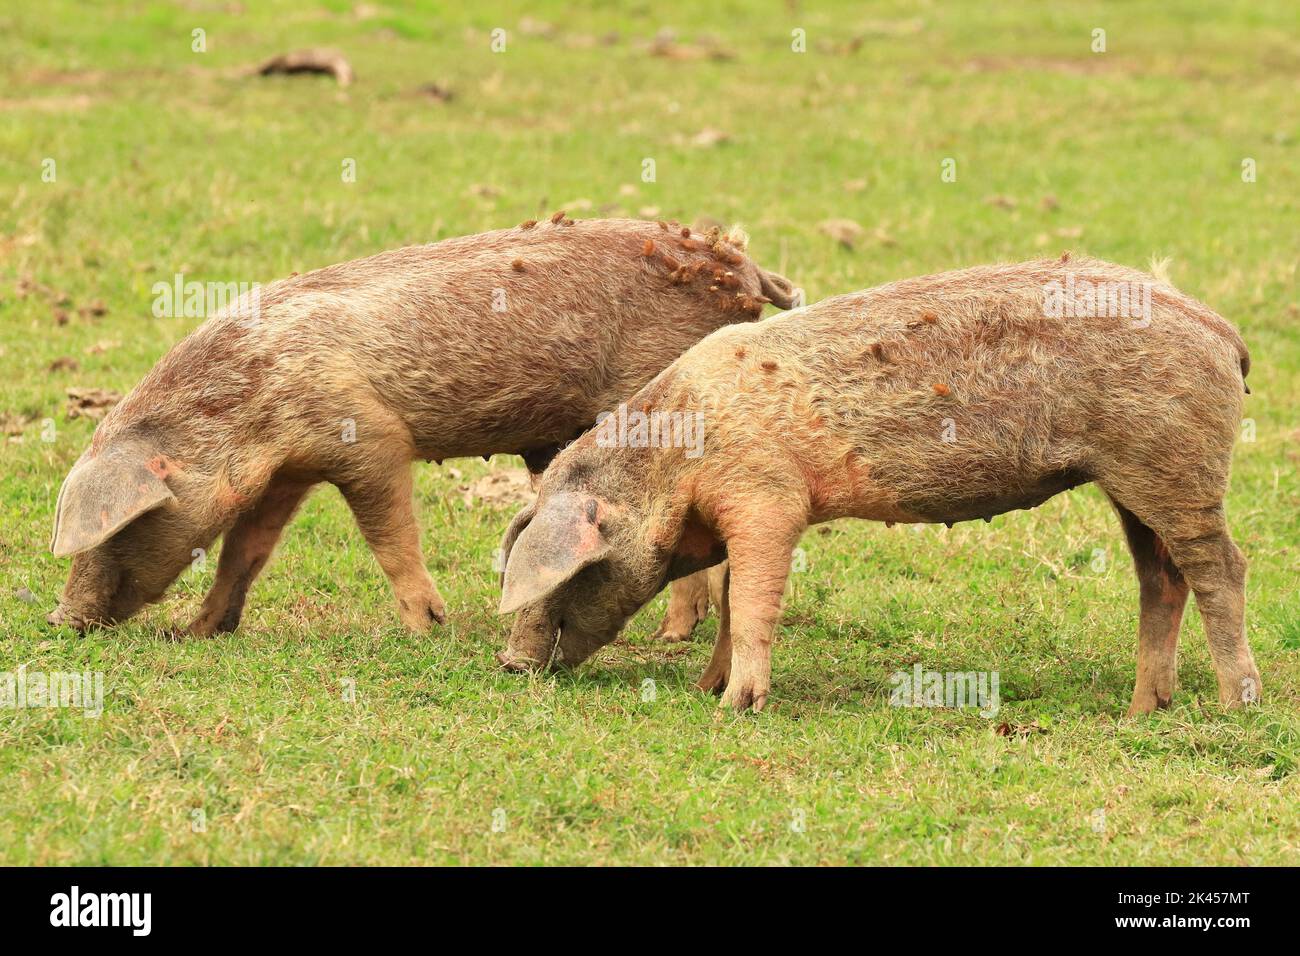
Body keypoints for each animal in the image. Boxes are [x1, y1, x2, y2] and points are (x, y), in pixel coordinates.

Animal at [47, 217, 795, 633]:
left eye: (123, 525)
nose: (59, 619)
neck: (250, 404)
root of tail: (749, 270)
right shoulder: (289, 471)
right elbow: (245, 550)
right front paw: (197, 631)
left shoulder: (368, 438)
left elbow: (388, 534)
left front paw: (426, 628)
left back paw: (671, 637)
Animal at [497, 256, 1262, 716]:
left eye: (567, 573)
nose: (507, 665)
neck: (675, 467)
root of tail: (1223, 330)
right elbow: (730, 599)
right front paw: (703, 685)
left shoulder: (767, 498)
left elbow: (753, 599)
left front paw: (732, 706)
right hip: (1130, 483)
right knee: (1161, 577)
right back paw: (1139, 711)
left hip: (1174, 465)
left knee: (1221, 566)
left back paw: (1233, 704)